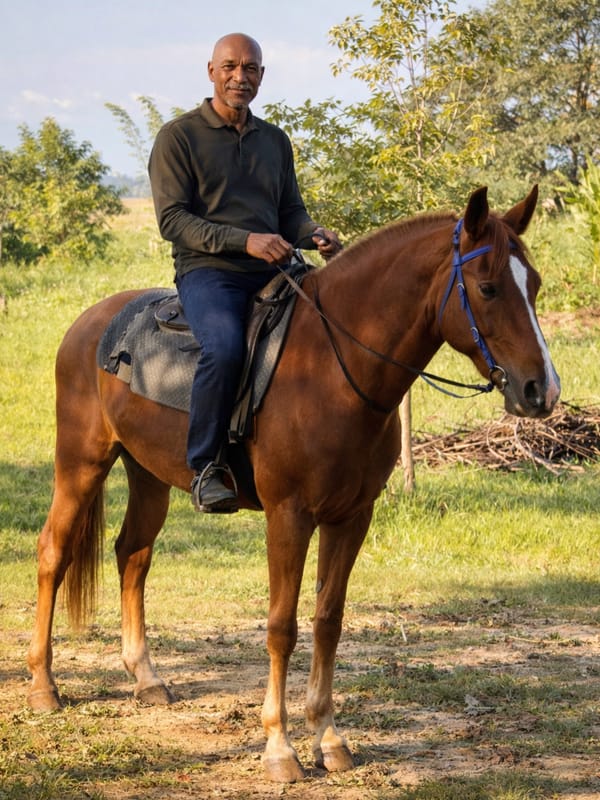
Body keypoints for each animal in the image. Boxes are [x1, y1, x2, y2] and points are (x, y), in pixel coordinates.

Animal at [27, 186, 560, 782]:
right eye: (488, 287)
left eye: (534, 284)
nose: (541, 390)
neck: (333, 367)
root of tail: (92, 322)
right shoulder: (289, 516)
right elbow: (281, 626)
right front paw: (280, 748)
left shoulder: (351, 516)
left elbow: (328, 619)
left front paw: (328, 738)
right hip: (80, 463)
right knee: (54, 552)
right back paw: (44, 686)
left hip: (149, 477)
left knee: (133, 555)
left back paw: (146, 678)